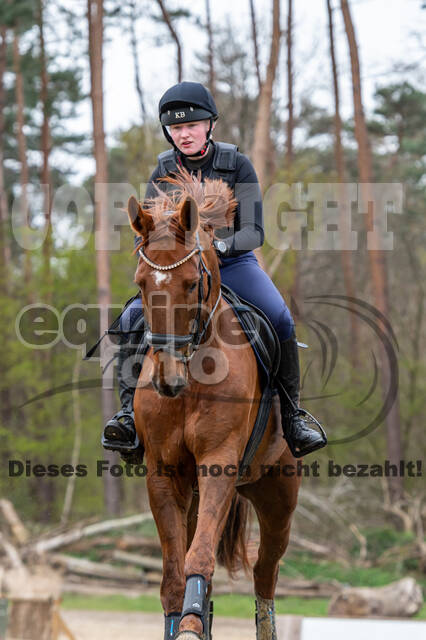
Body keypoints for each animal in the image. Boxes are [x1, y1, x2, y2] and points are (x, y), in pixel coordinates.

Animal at [126, 171, 300, 640]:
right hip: (192, 494)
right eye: (141, 284)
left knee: (265, 572)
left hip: (279, 496)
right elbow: (172, 572)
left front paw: (189, 623)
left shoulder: (219, 461)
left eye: (191, 283)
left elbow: (199, 557)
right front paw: (184, 622)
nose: (167, 379)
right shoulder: (163, 473)